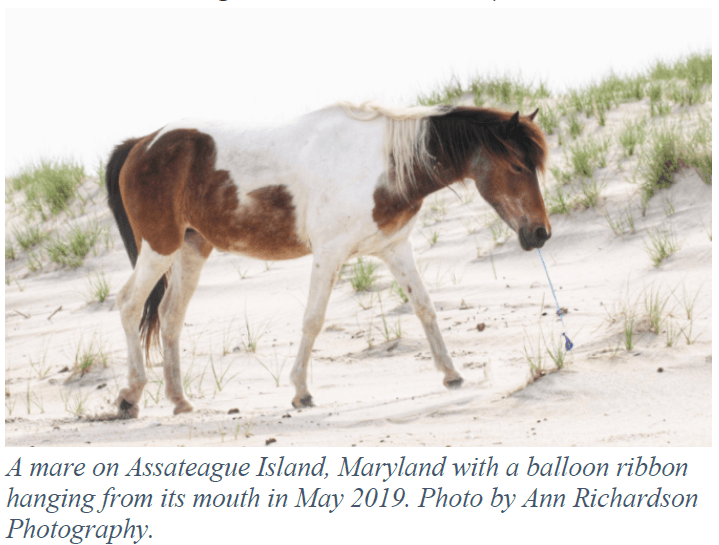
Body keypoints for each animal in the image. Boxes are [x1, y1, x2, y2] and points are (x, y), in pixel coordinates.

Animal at [105, 101, 550, 418]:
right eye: (516, 165)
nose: (540, 233)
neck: (383, 166)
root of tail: (142, 143)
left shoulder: (395, 248)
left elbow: (424, 308)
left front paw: (452, 374)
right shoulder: (329, 253)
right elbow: (313, 319)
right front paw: (301, 392)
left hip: (191, 249)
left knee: (170, 316)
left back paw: (179, 400)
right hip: (159, 247)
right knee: (129, 305)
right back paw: (129, 397)